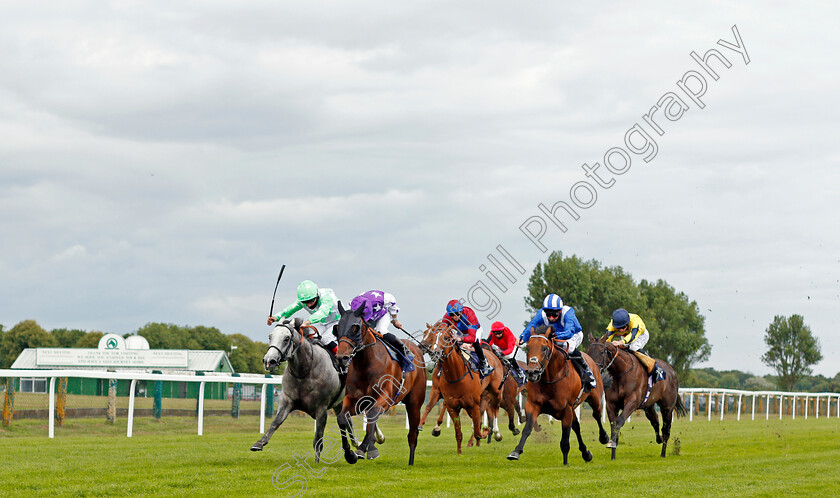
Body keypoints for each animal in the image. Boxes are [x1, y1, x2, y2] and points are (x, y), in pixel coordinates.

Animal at [248, 320, 382, 460]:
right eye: (270, 337)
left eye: (286, 339)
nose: (269, 361)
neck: (305, 370)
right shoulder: (287, 401)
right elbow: (276, 422)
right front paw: (259, 443)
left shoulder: (321, 408)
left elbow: (318, 440)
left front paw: (316, 461)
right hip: (339, 403)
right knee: (348, 419)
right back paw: (358, 443)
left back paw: (377, 438)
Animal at [334, 304, 426, 466]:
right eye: (337, 327)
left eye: (355, 327)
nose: (341, 358)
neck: (365, 364)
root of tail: (417, 349)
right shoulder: (354, 399)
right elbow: (342, 418)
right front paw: (350, 454)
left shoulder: (386, 397)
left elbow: (372, 415)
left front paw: (365, 449)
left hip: (414, 403)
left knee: (412, 434)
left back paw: (410, 461)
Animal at [426, 320, 506, 454]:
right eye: (432, 337)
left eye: (446, 338)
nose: (434, 353)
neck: (455, 375)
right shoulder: (452, 406)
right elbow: (459, 433)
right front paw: (459, 452)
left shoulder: (473, 405)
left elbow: (478, 431)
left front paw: (486, 431)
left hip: (496, 392)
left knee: (495, 409)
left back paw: (496, 433)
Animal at [502, 324, 608, 464]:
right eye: (528, 347)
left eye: (544, 348)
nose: (532, 372)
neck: (551, 379)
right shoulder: (533, 405)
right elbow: (527, 429)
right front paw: (515, 452)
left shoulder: (566, 410)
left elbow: (565, 439)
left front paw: (565, 463)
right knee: (577, 426)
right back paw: (586, 453)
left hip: (594, 398)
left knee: (596, 414)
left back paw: (604, 437)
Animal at [588, 332, 684, 462]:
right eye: (588, 351)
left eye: (602, 352)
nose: (593, 370)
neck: (622, 372)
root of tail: (672, 371)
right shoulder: (611, 404)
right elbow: (614, 425)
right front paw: (613, 453)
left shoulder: (632, 402)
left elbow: (619, 421)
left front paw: (612, 443)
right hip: (648, 406)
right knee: (655, 420)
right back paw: (658, 439)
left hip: (667, 408)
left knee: (666, 429)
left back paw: (663, 453)